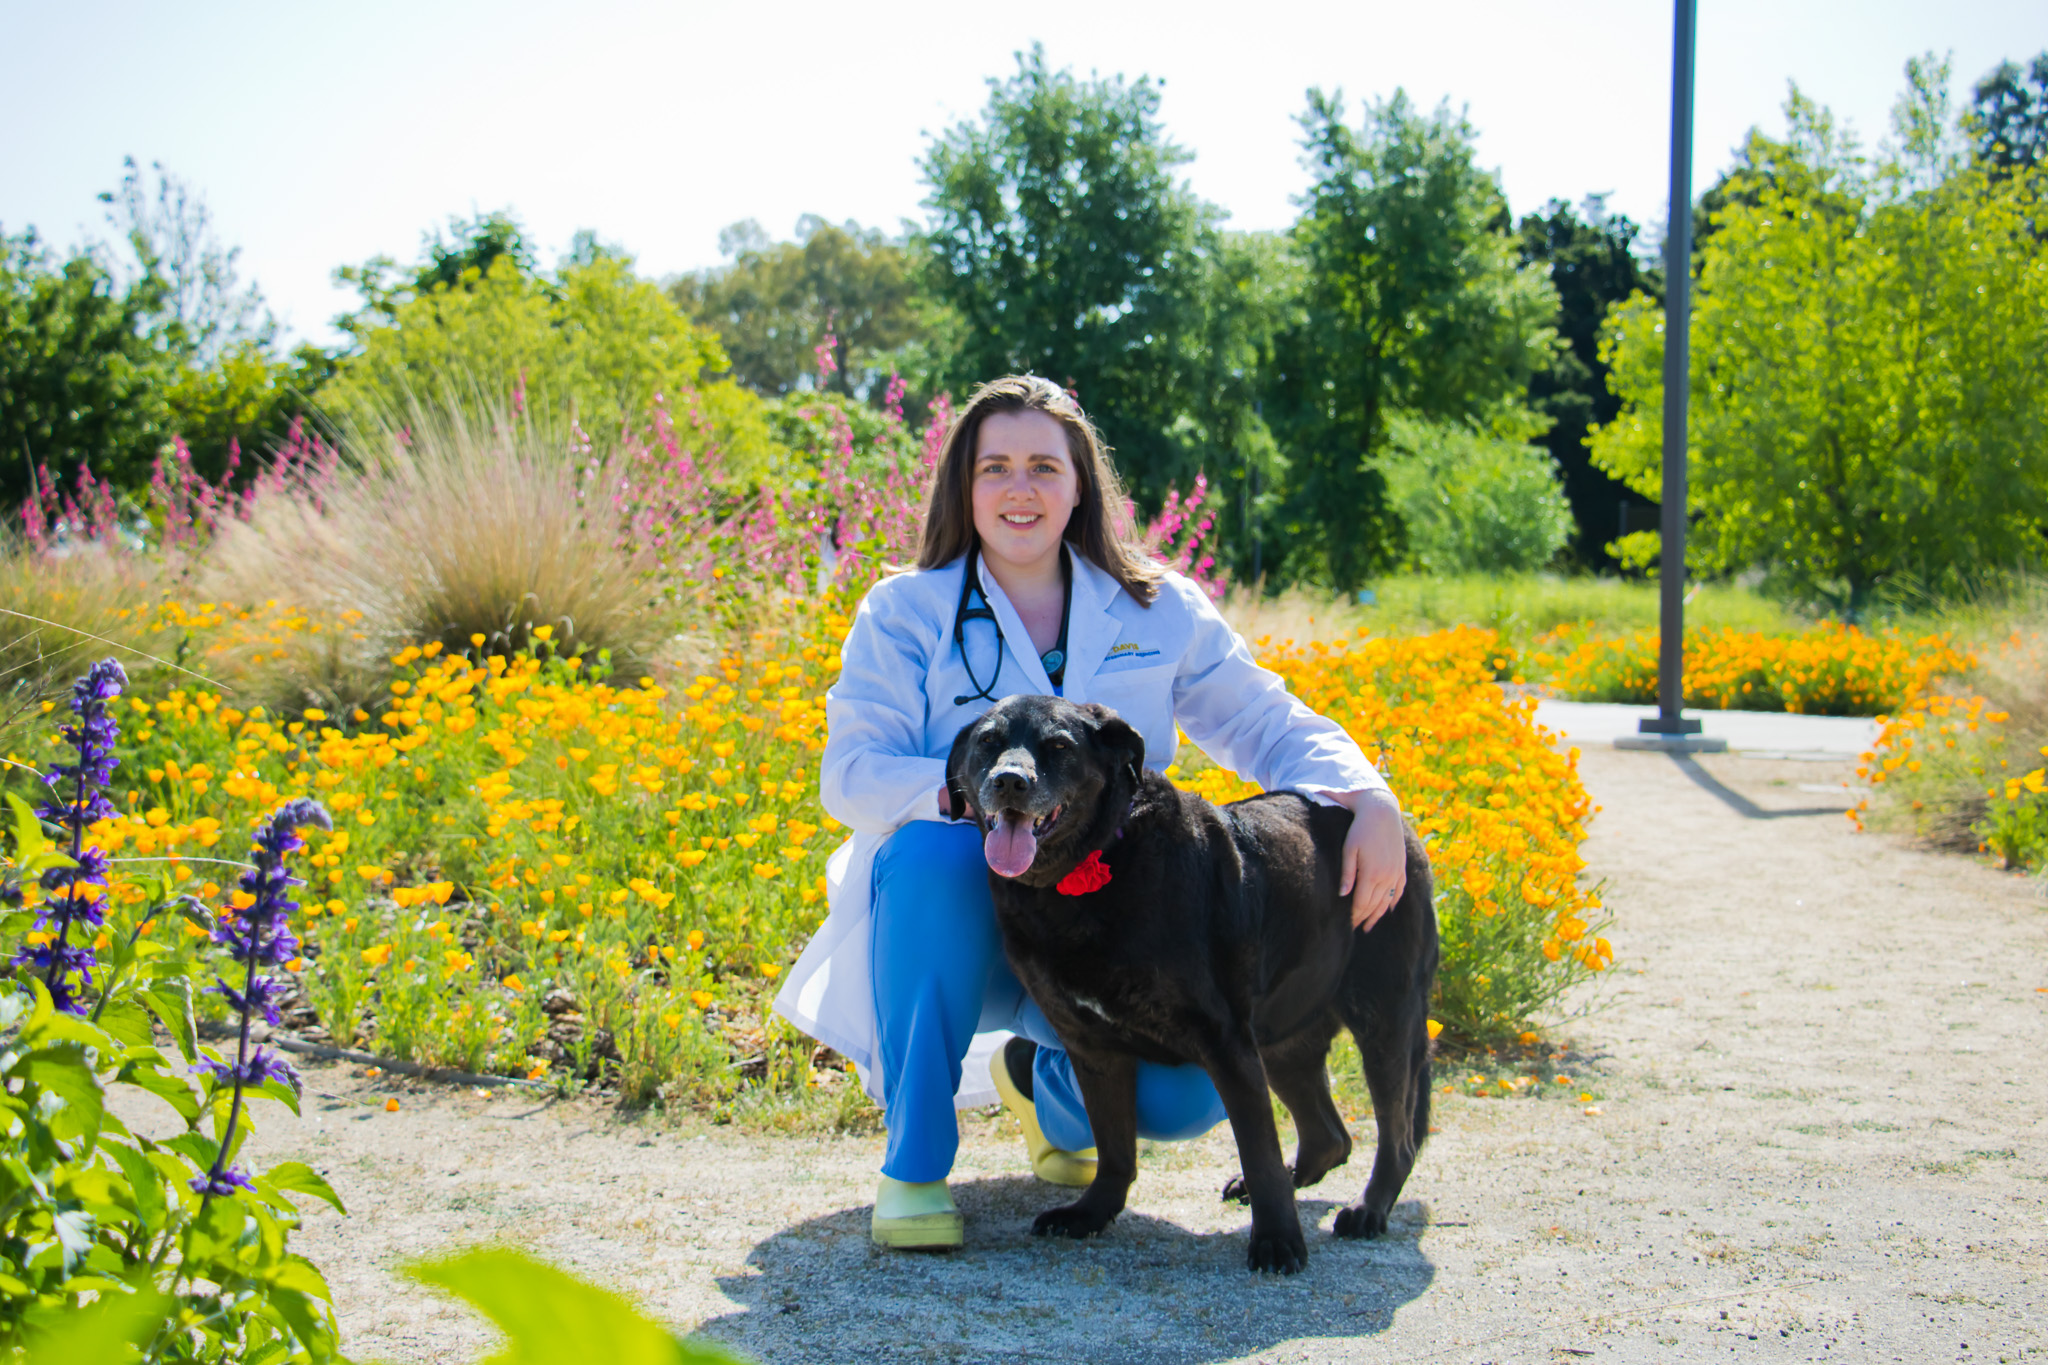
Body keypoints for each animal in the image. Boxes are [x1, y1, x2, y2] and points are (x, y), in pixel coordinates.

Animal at [946, 699, 1441, 1277]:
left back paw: (1367, 1210)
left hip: (1384, 1022)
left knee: (1397, 1138)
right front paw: (1091, 1213)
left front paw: (1277, 1242)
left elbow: (1259, 1149)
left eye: (1060, 746)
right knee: (1330, 1138)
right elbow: (1114, 1148)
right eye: (987, 742)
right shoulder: (1093, 1051)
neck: (1085, 873)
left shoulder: (1225, 1044)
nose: (1009, 781)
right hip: (1283, 1042)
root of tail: (1400, 826)